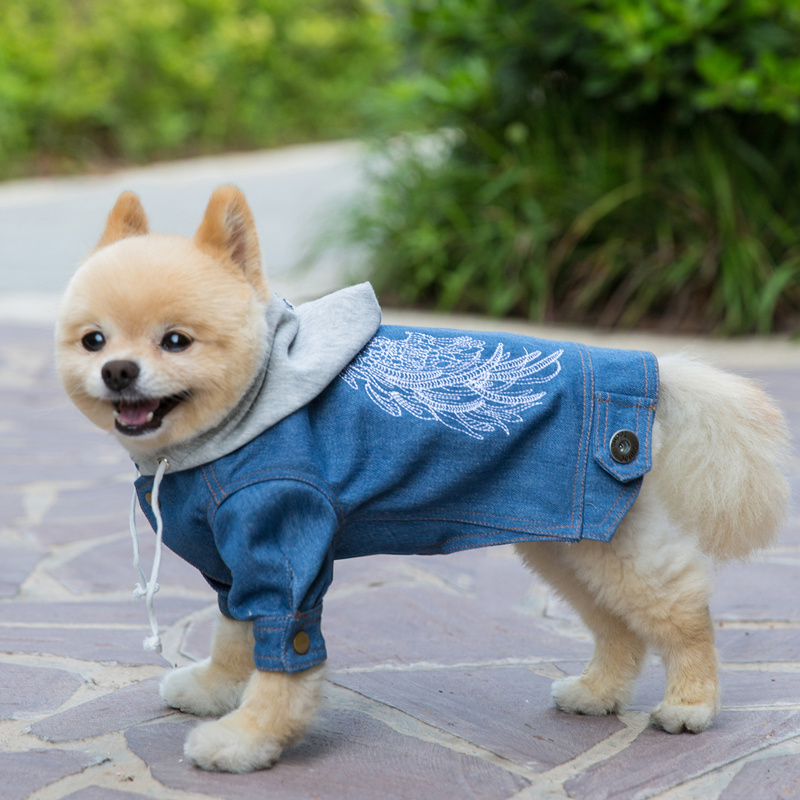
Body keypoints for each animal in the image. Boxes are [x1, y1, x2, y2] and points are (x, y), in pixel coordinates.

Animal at [53, 186, 792, 768]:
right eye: (94, 340)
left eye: (176, 341)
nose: (119, 371)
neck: (244, 413)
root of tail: (650, 373)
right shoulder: (234, 563)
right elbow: (233, 633)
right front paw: (216, 691)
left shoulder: (284, 545)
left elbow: (286, 653)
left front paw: (246, 740)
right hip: (565, 543)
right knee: (619, 626)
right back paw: (597, 692)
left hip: (611, 543)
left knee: (682, 610)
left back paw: (691, 704)